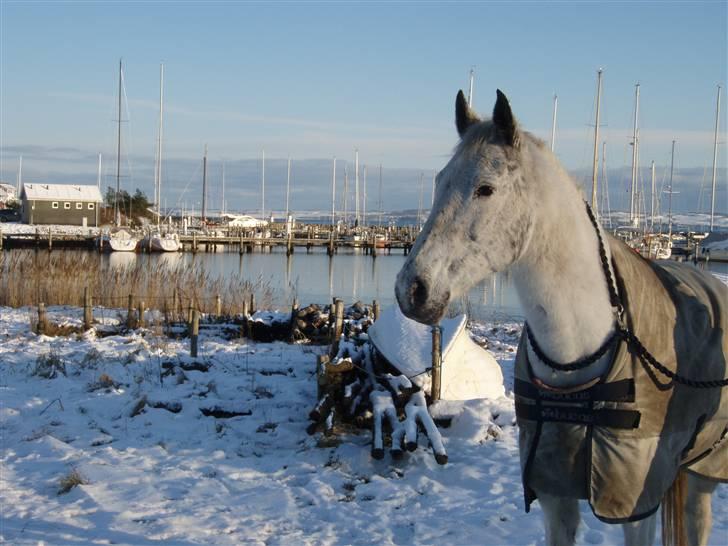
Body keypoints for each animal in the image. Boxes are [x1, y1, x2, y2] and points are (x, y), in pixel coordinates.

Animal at [398, 90, 728, 544]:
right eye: (438, 182)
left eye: (486, 188)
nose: (411, 290)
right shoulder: (553, 492)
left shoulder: (636, 504)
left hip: (703, 470)